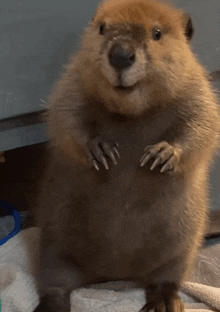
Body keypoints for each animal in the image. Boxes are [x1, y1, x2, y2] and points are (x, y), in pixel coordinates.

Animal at [33, 0, 219, 312]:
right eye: (102, 28)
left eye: (157, 33)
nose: (120, 56)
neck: (132, 110)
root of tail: (114, 275)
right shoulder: (74, 79)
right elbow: (65, 116)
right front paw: (101, 150)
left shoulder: (196, 87)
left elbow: (203, 125)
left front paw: (161, 155)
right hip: (52, 246)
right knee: (54, 285)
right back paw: (51, 305)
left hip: (182, 249)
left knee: (166, 279)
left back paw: (164, 303)